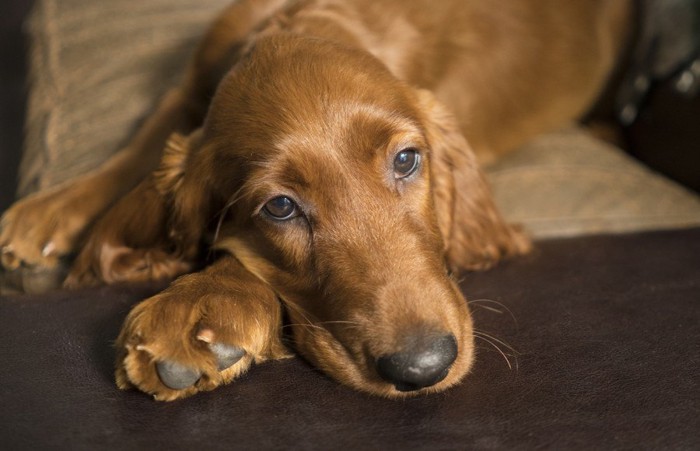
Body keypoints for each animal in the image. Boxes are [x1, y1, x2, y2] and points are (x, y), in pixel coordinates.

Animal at [0, 0, 632, 402]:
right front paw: (46, 212)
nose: (423, 368)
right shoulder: (192, 82)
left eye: (407, 160)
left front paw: (198, 303)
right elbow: (143, 145)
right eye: (280, 207)